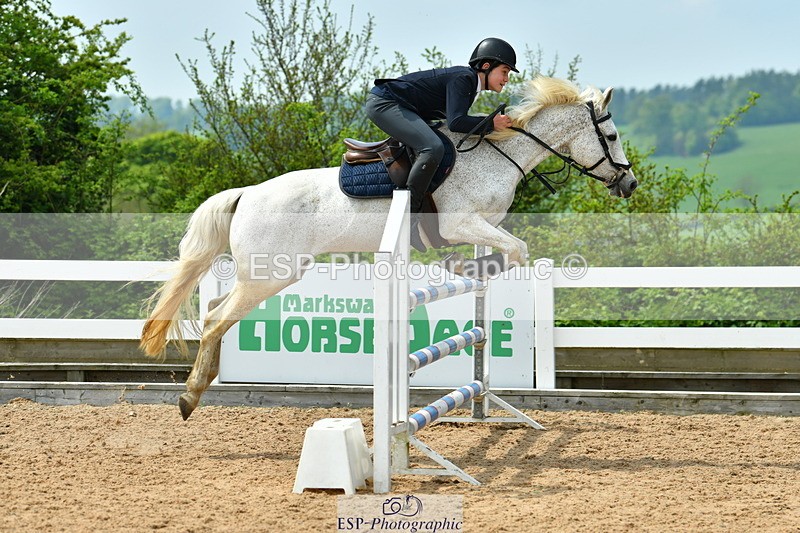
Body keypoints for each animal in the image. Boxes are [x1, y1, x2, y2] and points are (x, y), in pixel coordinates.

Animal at [140, 76, 638, 420]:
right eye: (612, 136)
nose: (629, 184)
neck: (499, 157)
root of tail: (245, 194)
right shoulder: (462, 222)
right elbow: (516, 250)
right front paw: (469, 267)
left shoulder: (478, 227)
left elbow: (503, 251)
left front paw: (466, 267)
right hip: (273, 273)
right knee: (217, 318)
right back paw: (189, 397)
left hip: (262, 273)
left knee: (214, 311)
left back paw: (199, 386)